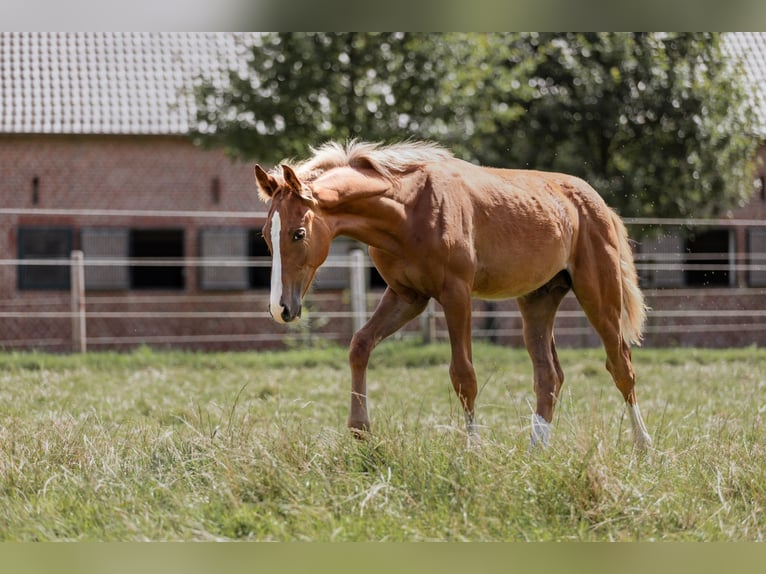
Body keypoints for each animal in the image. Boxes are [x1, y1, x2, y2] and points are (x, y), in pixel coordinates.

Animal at [256, 140, 656, 450]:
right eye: (265, 234)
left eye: (298, 233)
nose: (281, 309)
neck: (410, 209)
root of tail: (599, 204)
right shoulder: (407, 296)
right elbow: (360, 345)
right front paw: (360, 430)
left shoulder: (456, 294)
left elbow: (463, 374)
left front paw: (472, 450)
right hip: (538, 299)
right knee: (548, 376)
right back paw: (535, 453)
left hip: (598, 293)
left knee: (621, 365)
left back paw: (643, 448)